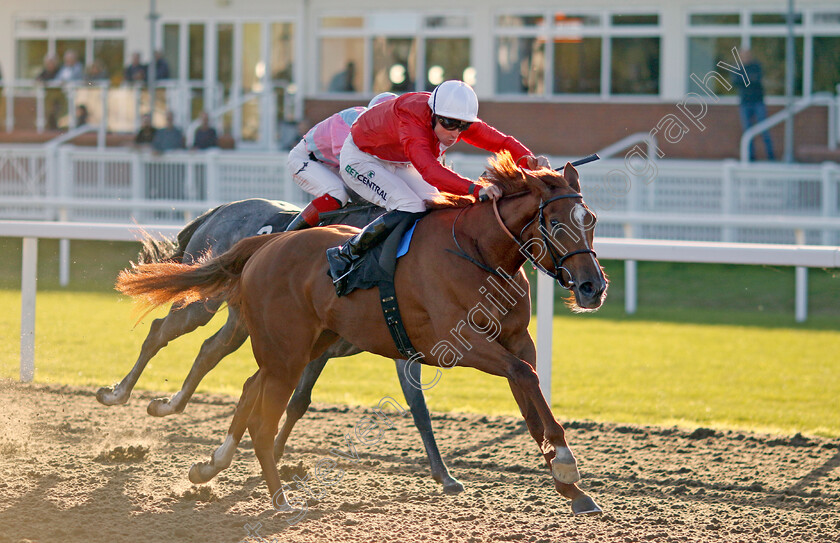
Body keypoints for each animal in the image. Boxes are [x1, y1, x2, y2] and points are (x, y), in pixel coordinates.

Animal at [100, 198, 466, 496]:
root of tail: (219, 210)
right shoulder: (314, 346)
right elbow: (292, 400)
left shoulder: (393, 345)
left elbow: (417, 407)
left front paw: (444, 475)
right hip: (202, 301)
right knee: (160, 333)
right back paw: (118, 394)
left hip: (239, 320)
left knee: (209, 350)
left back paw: (168, 405)